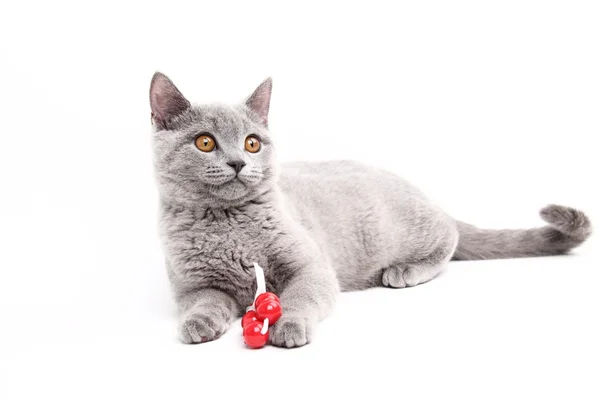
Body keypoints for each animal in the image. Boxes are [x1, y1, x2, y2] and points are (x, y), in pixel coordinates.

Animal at [150, 73, 592, 348]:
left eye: (252, 143)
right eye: (205, 142)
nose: (239, 162)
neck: (227, 225)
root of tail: (416, 188)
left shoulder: (312, 266)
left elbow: (301, 297)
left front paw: (290, 326)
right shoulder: (192, 285)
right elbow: (204, 302)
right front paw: (199, 324)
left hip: (403, 228)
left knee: (449, 235)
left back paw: (404, 270)